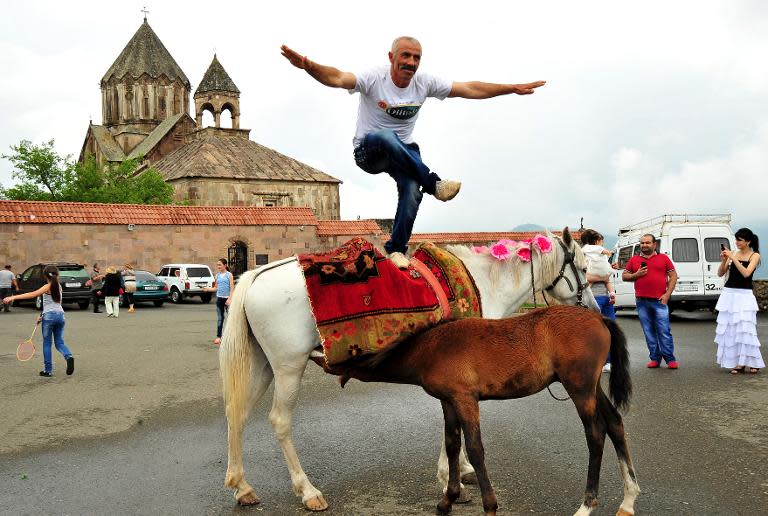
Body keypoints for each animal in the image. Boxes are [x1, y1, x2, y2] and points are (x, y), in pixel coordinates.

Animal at [219, 229, 596, 508]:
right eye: (580, 265)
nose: (593, 308)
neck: (482, 283)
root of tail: (255, 277)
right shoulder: (458, 381)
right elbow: (454, 432)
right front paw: (450, 479)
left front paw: (461, 471)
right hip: (288, 367)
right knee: (279, 420)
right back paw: (308, 491)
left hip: (264, 366)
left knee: (237, 414)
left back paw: (242, 486)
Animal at [328, 304, 640, 516]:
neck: (431, 348)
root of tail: (599, 317)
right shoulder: (448, 401)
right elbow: (453, 445)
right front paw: (448, 500)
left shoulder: (466, 399)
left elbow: (475, 449)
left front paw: (489, 505)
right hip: (593, 387)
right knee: (615, 424)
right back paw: (628, 499)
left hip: (579, 388)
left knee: (596, 435)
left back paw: (586, 505)